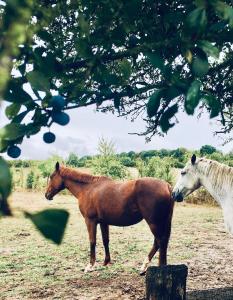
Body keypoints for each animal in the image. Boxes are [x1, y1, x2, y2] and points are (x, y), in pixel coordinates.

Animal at [45, 163, 173, 274]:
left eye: (51, 176)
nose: (47, 195)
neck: (88, 189)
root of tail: (167, 186)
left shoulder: (90, 221)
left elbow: (92, 241)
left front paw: (90, 265)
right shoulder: (103, 222)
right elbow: (105, 240)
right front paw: (106, 261)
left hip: (153, 223)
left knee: (160, 241)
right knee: (159, 242)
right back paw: (144, 267)